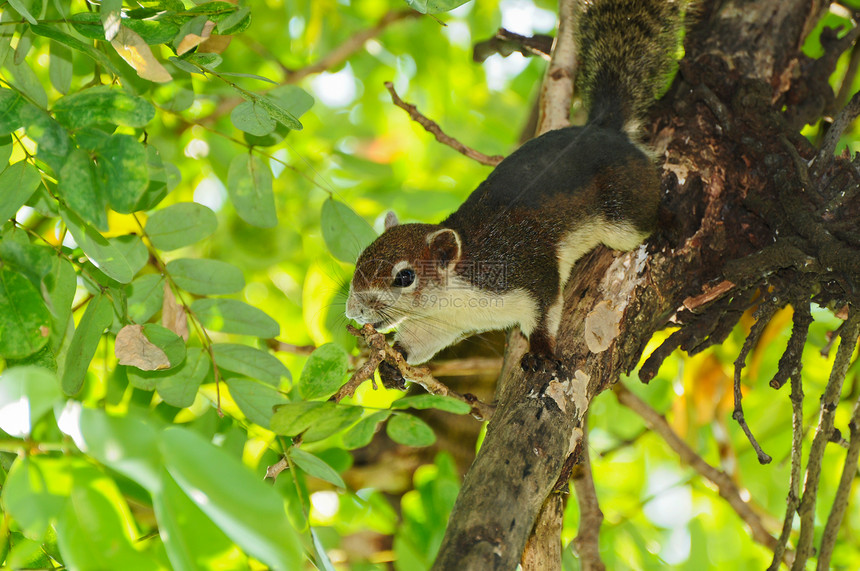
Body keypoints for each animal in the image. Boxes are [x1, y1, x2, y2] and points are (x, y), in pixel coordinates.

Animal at [346, 0, 680, 378]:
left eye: (404, 277)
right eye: (359, 260)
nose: (353, 311)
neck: (455, 294)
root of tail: (603, 129)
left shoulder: (527, 272)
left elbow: (545, 311)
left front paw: (541, 352)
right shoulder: (442, 323)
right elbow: (420, 341)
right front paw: (393, 363)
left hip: (622, 213)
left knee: (643, 218)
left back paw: (669, 222)